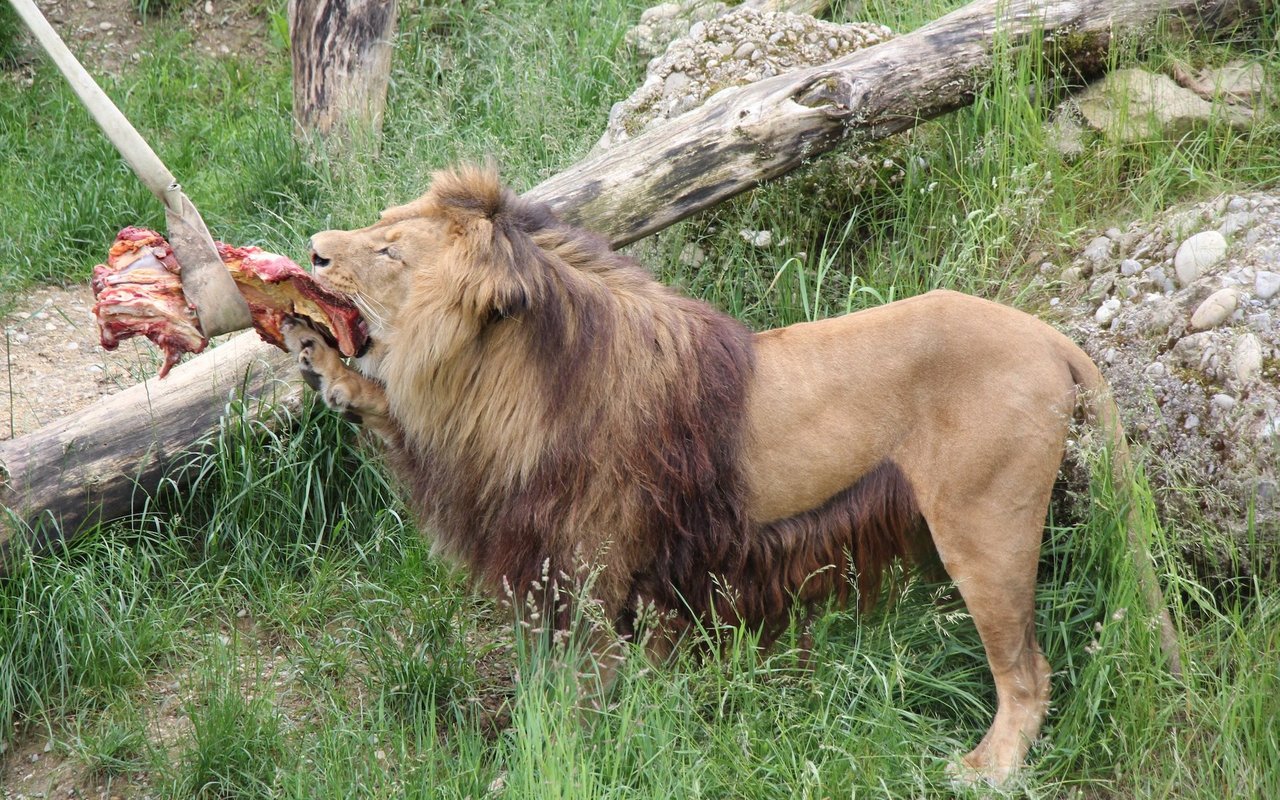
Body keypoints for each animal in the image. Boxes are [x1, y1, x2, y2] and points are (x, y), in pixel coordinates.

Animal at [282, 165, 1177, 783]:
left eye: (390, 250)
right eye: (382, 224)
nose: (314, 249)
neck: (495, 382)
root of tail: (1049, 336)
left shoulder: (587, 564)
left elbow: (578, 693)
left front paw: (554, 760)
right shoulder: (536, 550)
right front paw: (323, 362)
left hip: (986, 527)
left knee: (1027, 671)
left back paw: (987, 770)